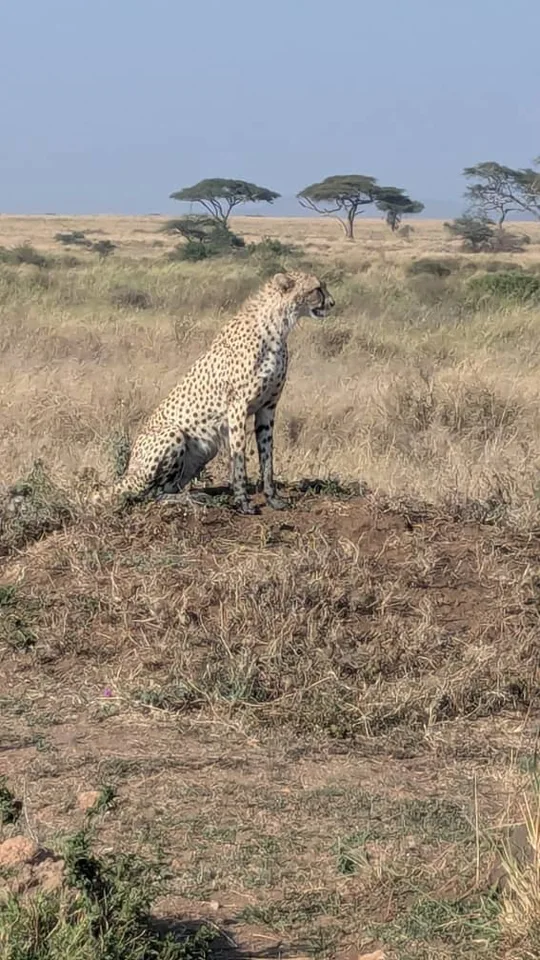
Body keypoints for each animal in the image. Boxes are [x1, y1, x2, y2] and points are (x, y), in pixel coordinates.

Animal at [92, 270, 335, 514]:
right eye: (316, 289)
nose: (332, 303)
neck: (278, 326)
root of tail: (129, 473)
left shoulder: (268, 407)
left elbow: (267, 457)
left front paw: (272, 498)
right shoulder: (237, 406)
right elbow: (239, 456)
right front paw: (243, 501)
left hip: (205, 450)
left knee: (167, 487)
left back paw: (195, 495)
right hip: (173, 434)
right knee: (151, 494)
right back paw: (190, 499)